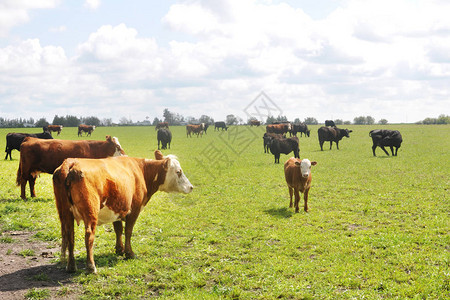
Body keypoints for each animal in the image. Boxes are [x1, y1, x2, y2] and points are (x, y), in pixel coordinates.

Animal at [52, 150, 193, 274]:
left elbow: (118, 229)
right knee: (89, 236)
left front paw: (119, 249)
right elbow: (128, 231)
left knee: (70, 236)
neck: (141, 171)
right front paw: (129, 253)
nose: (191, 187)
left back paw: (71, 266)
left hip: (66, 213)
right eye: (178, 172)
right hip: (90, 212)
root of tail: (71, 162)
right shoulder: (134, 209)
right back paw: (91, 266)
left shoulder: (117, 209)